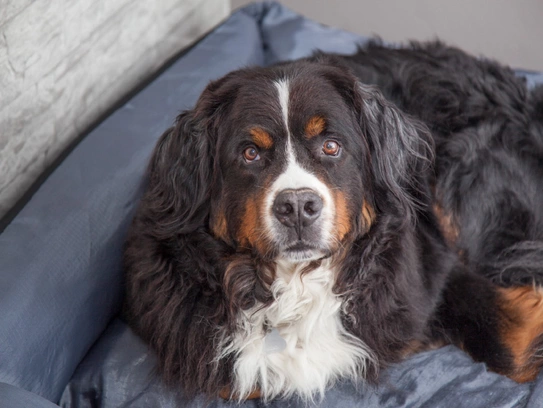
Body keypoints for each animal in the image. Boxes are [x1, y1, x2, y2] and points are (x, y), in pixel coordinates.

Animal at [123, 41, 543, 402]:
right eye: (250, 153)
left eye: (331, 146)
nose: (296, 206)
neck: (295, 288)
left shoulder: (435, 268)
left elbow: (511, 344)